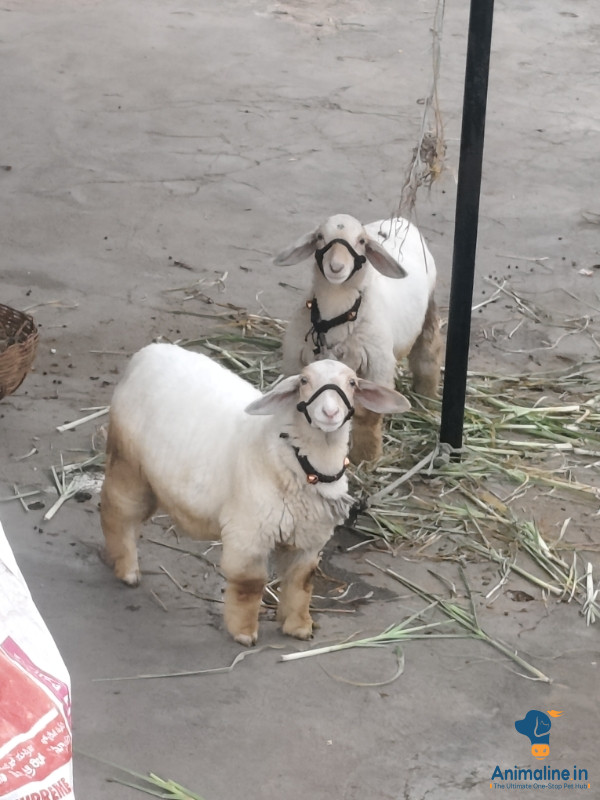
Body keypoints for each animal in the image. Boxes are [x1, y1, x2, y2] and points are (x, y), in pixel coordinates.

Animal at [100, 344, 409, 646]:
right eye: (304, 380)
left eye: (353, 383)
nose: (330, 413)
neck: (292, 457)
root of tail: (148, 352)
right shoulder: (249, 533)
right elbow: (250, 584)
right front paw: (244, 633)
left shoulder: (308, 540)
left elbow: (301, 582)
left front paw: (299, 627)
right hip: (128, 464)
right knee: (117, 510)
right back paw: (127, 570)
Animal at [273, 213, 443, 464]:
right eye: (320, 237)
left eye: (361, 241)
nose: (336, 267)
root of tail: (400, 220)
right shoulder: (296, 360)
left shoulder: (378, 366)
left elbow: (369, 416)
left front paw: (366, 458)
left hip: (429, 306)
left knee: (428, 351)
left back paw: (427, 399)